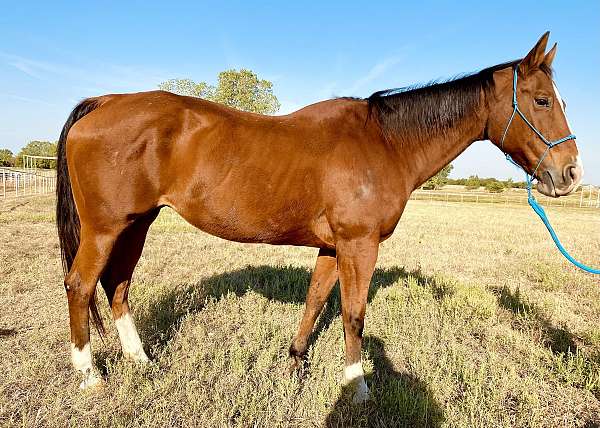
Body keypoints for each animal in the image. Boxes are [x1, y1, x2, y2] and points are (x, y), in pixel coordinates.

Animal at [56, 32, 580, 402]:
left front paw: (294, 365)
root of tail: (103, 103)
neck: (385, 142)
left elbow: (315, 302)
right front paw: (357, 385)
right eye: (541, 101)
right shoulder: (359, 245)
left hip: (136, 224)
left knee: (118, 286)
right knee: (81, 285)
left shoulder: (332, 246)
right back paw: (90, 377)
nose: (571, 173)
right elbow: (354, 313)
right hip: (105, 229)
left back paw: (141, 361)